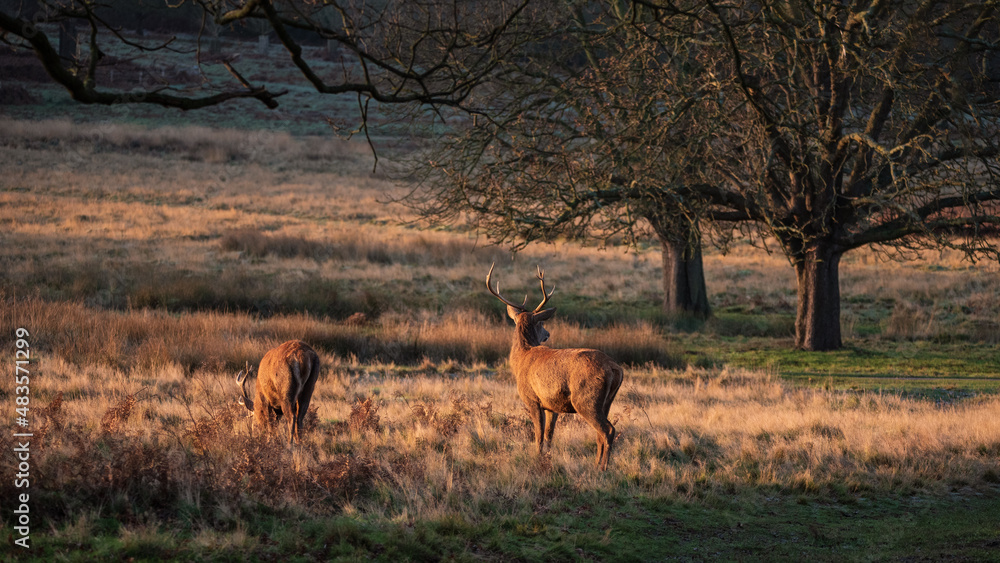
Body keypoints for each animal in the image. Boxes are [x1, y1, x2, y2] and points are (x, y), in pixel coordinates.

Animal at [487, 263, 624, 470]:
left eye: (542, 321)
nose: (548, 334)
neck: (521, 358)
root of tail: (615, 369)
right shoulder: (552, 405)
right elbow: (549, 435)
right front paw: (547, 458)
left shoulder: (531, 398)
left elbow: (538, 436)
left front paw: (536, 460)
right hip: (607, 401)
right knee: (600, 433)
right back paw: (596, 464)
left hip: (586, 399)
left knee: (607, 430)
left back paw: (602, 468)